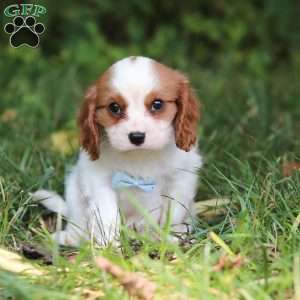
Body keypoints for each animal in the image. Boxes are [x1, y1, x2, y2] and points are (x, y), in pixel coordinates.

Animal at [32, 56, 202, 246]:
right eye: (114, 108)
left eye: (157, 104)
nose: (137, 136)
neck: (140, 155)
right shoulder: (98, 180)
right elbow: (107, 214)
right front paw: (110, 245)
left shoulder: (181, 178)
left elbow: (173, 212)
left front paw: (169, 237)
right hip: (73, 189)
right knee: (78, 221)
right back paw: (72, 237)